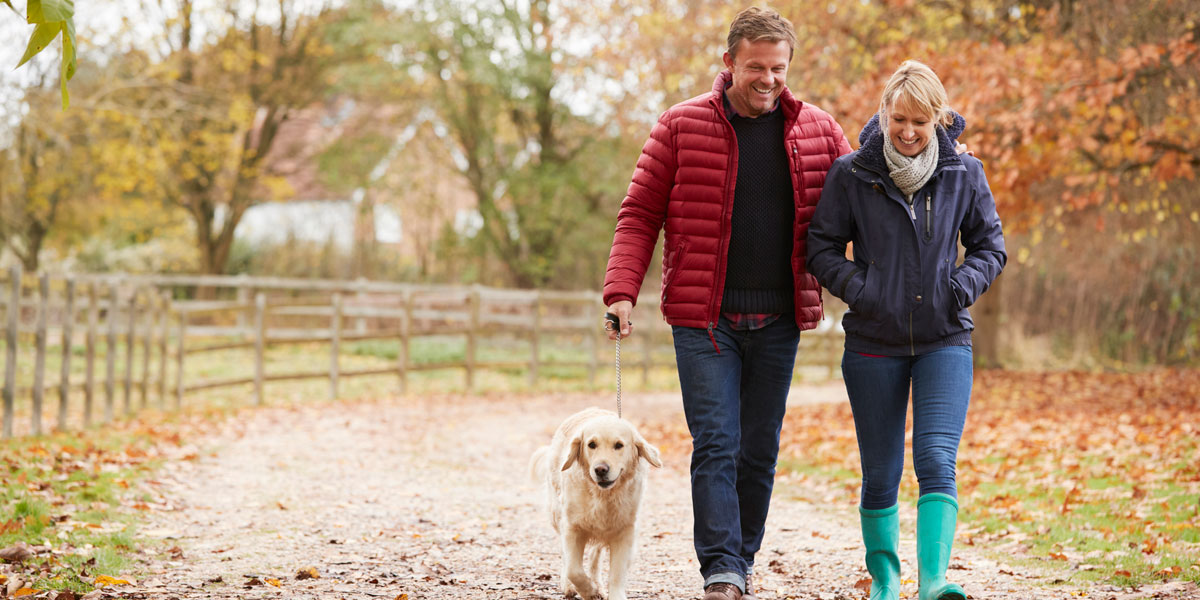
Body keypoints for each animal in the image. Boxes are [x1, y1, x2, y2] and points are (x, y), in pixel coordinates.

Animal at [532, 405, 667, 597]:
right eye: (591, 445)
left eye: (618, 445)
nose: (601, 469)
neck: (603, 496)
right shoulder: (572, 527)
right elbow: (573, 569)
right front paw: (588, 591)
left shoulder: (625, 531)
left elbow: (616, 574)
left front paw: (606, 592)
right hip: (556, 514)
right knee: (566, 558)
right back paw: (570, 586)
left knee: (595, 556)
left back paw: (596, 582)